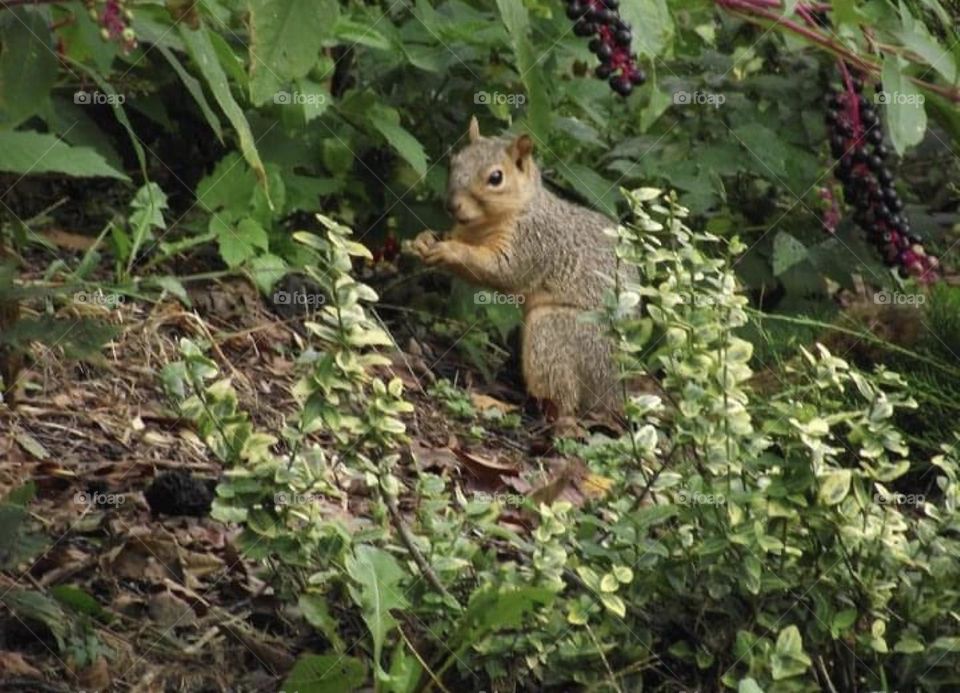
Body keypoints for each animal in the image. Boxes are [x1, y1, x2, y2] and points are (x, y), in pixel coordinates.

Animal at [410, 117, 624, 422]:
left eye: (496, 178)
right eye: (454, 162)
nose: (451, 205)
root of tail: (613, 394)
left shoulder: (534, 241)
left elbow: (504, 270)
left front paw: (451, 252)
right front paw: (424, 240)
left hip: (559, 332)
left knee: (562, 397)